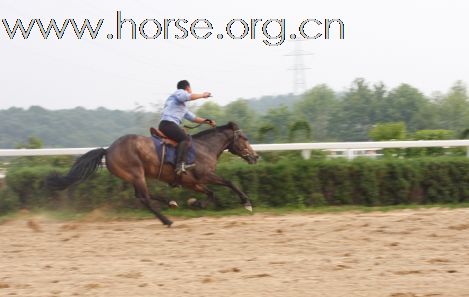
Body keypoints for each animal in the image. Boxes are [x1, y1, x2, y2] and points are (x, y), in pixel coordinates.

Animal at [45, 121, 258, 225]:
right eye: (245, 138)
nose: (255, 157)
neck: (204, 148)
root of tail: (108, 149)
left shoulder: (192, 182)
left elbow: (210, 193)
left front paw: (195, 203)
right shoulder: (205, 175)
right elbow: (229, 182)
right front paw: (246, 203)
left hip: (135, 176)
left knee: (141, 196)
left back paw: (171, 203)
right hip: (136, 174)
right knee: (144, 198)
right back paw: (167, 220)